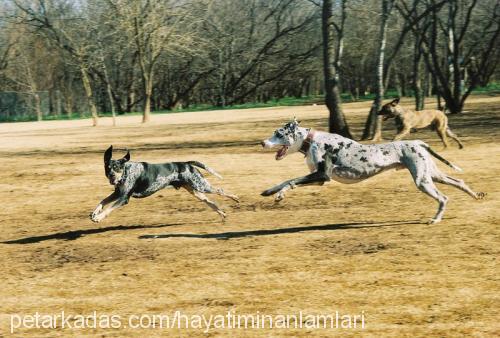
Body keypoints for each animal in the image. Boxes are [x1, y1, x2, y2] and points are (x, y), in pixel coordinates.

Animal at [91, 145, 239, 222]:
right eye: (108, 168)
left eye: (117, 167)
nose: (111, 175)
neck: (127, 171)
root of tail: (187, 163)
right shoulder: (118, 193)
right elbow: (103, 201)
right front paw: (95, 212)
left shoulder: (123, 198)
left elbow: (109, 208)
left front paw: (99, 217)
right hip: (196, 191)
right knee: (209, 202)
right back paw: (222, 213)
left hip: (201, 185)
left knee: (220, 190)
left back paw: (235, 198)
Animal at [262, 119, 484, 224]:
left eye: (278, 134)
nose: (262, 142)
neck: (312, 141)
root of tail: (418, 142)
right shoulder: (318, 179)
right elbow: (286, 180)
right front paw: (271, 191)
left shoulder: (322, 176)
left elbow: (292, 181)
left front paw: (280, 194)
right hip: (433, 175)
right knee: (459, 182)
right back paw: (475, 195)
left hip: (423, 181)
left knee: (443, 197)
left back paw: (436, 219)